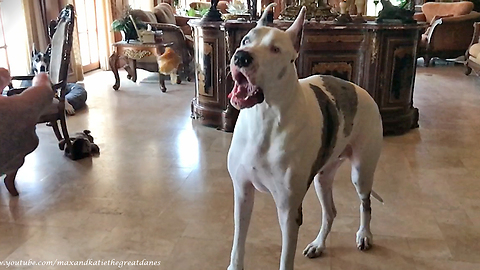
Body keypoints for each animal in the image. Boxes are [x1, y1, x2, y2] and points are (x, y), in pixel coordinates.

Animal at [227, 3, 384, 270]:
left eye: (275, 49)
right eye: (246, 40)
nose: (241, 56)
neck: (264, 118)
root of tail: (360, 90)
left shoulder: (289, 210)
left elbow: (285, 258)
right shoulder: (242, 193)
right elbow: (238, 243)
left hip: (361, 173)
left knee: (366, 204)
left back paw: (364, 235)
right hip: (323, 177)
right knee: (330, 212)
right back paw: (318, 245)